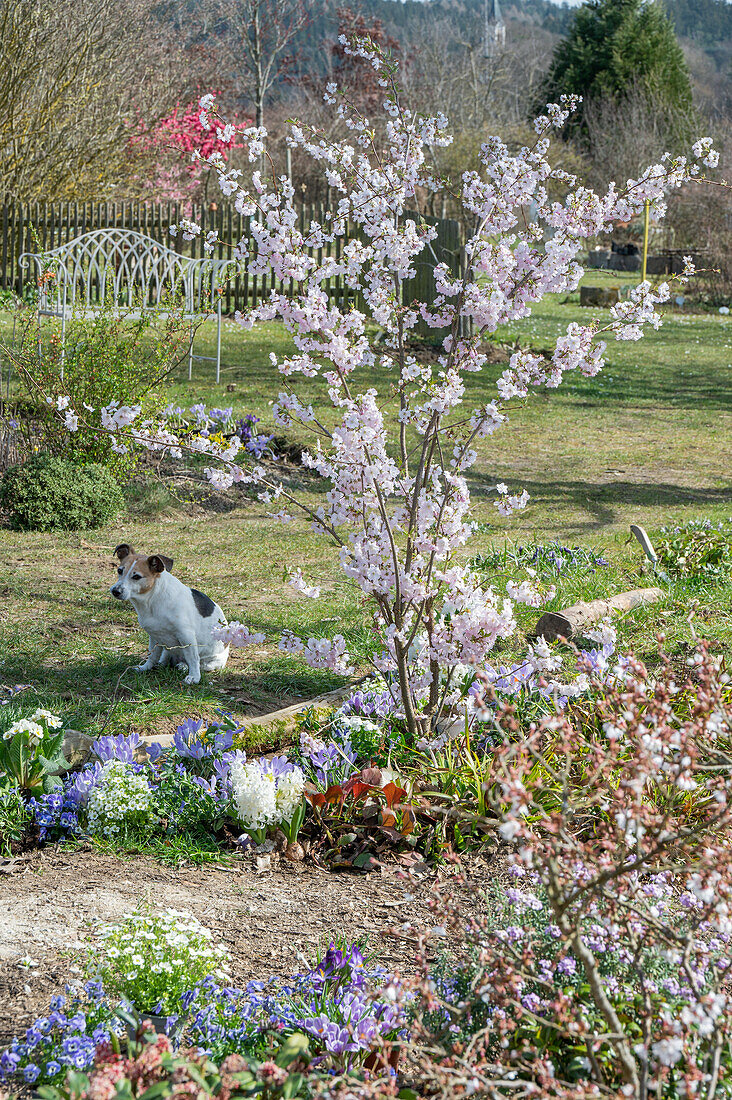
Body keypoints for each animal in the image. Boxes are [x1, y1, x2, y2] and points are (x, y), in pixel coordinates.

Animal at [108, 541, 226, 677]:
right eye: (119, 570)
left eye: (136, 577)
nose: (115, 591)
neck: (152, 599)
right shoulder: (154, 636)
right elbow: (152, 655)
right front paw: (145, 667)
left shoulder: (186, 636)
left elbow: (193, 658)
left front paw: (194, 677)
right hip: (167, 649)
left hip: (211, 662)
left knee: (198, 663)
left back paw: (184, 666)